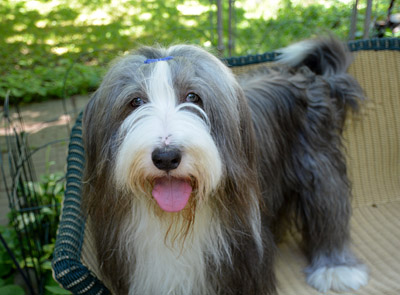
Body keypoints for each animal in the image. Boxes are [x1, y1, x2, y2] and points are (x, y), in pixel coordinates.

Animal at [81, 37, 368, 295]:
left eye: (193, 96)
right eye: (136, 102)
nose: (166, 157)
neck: (175, 221)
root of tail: (310, 77)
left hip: (319, 161)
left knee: (328, 204)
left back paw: (335, 268)